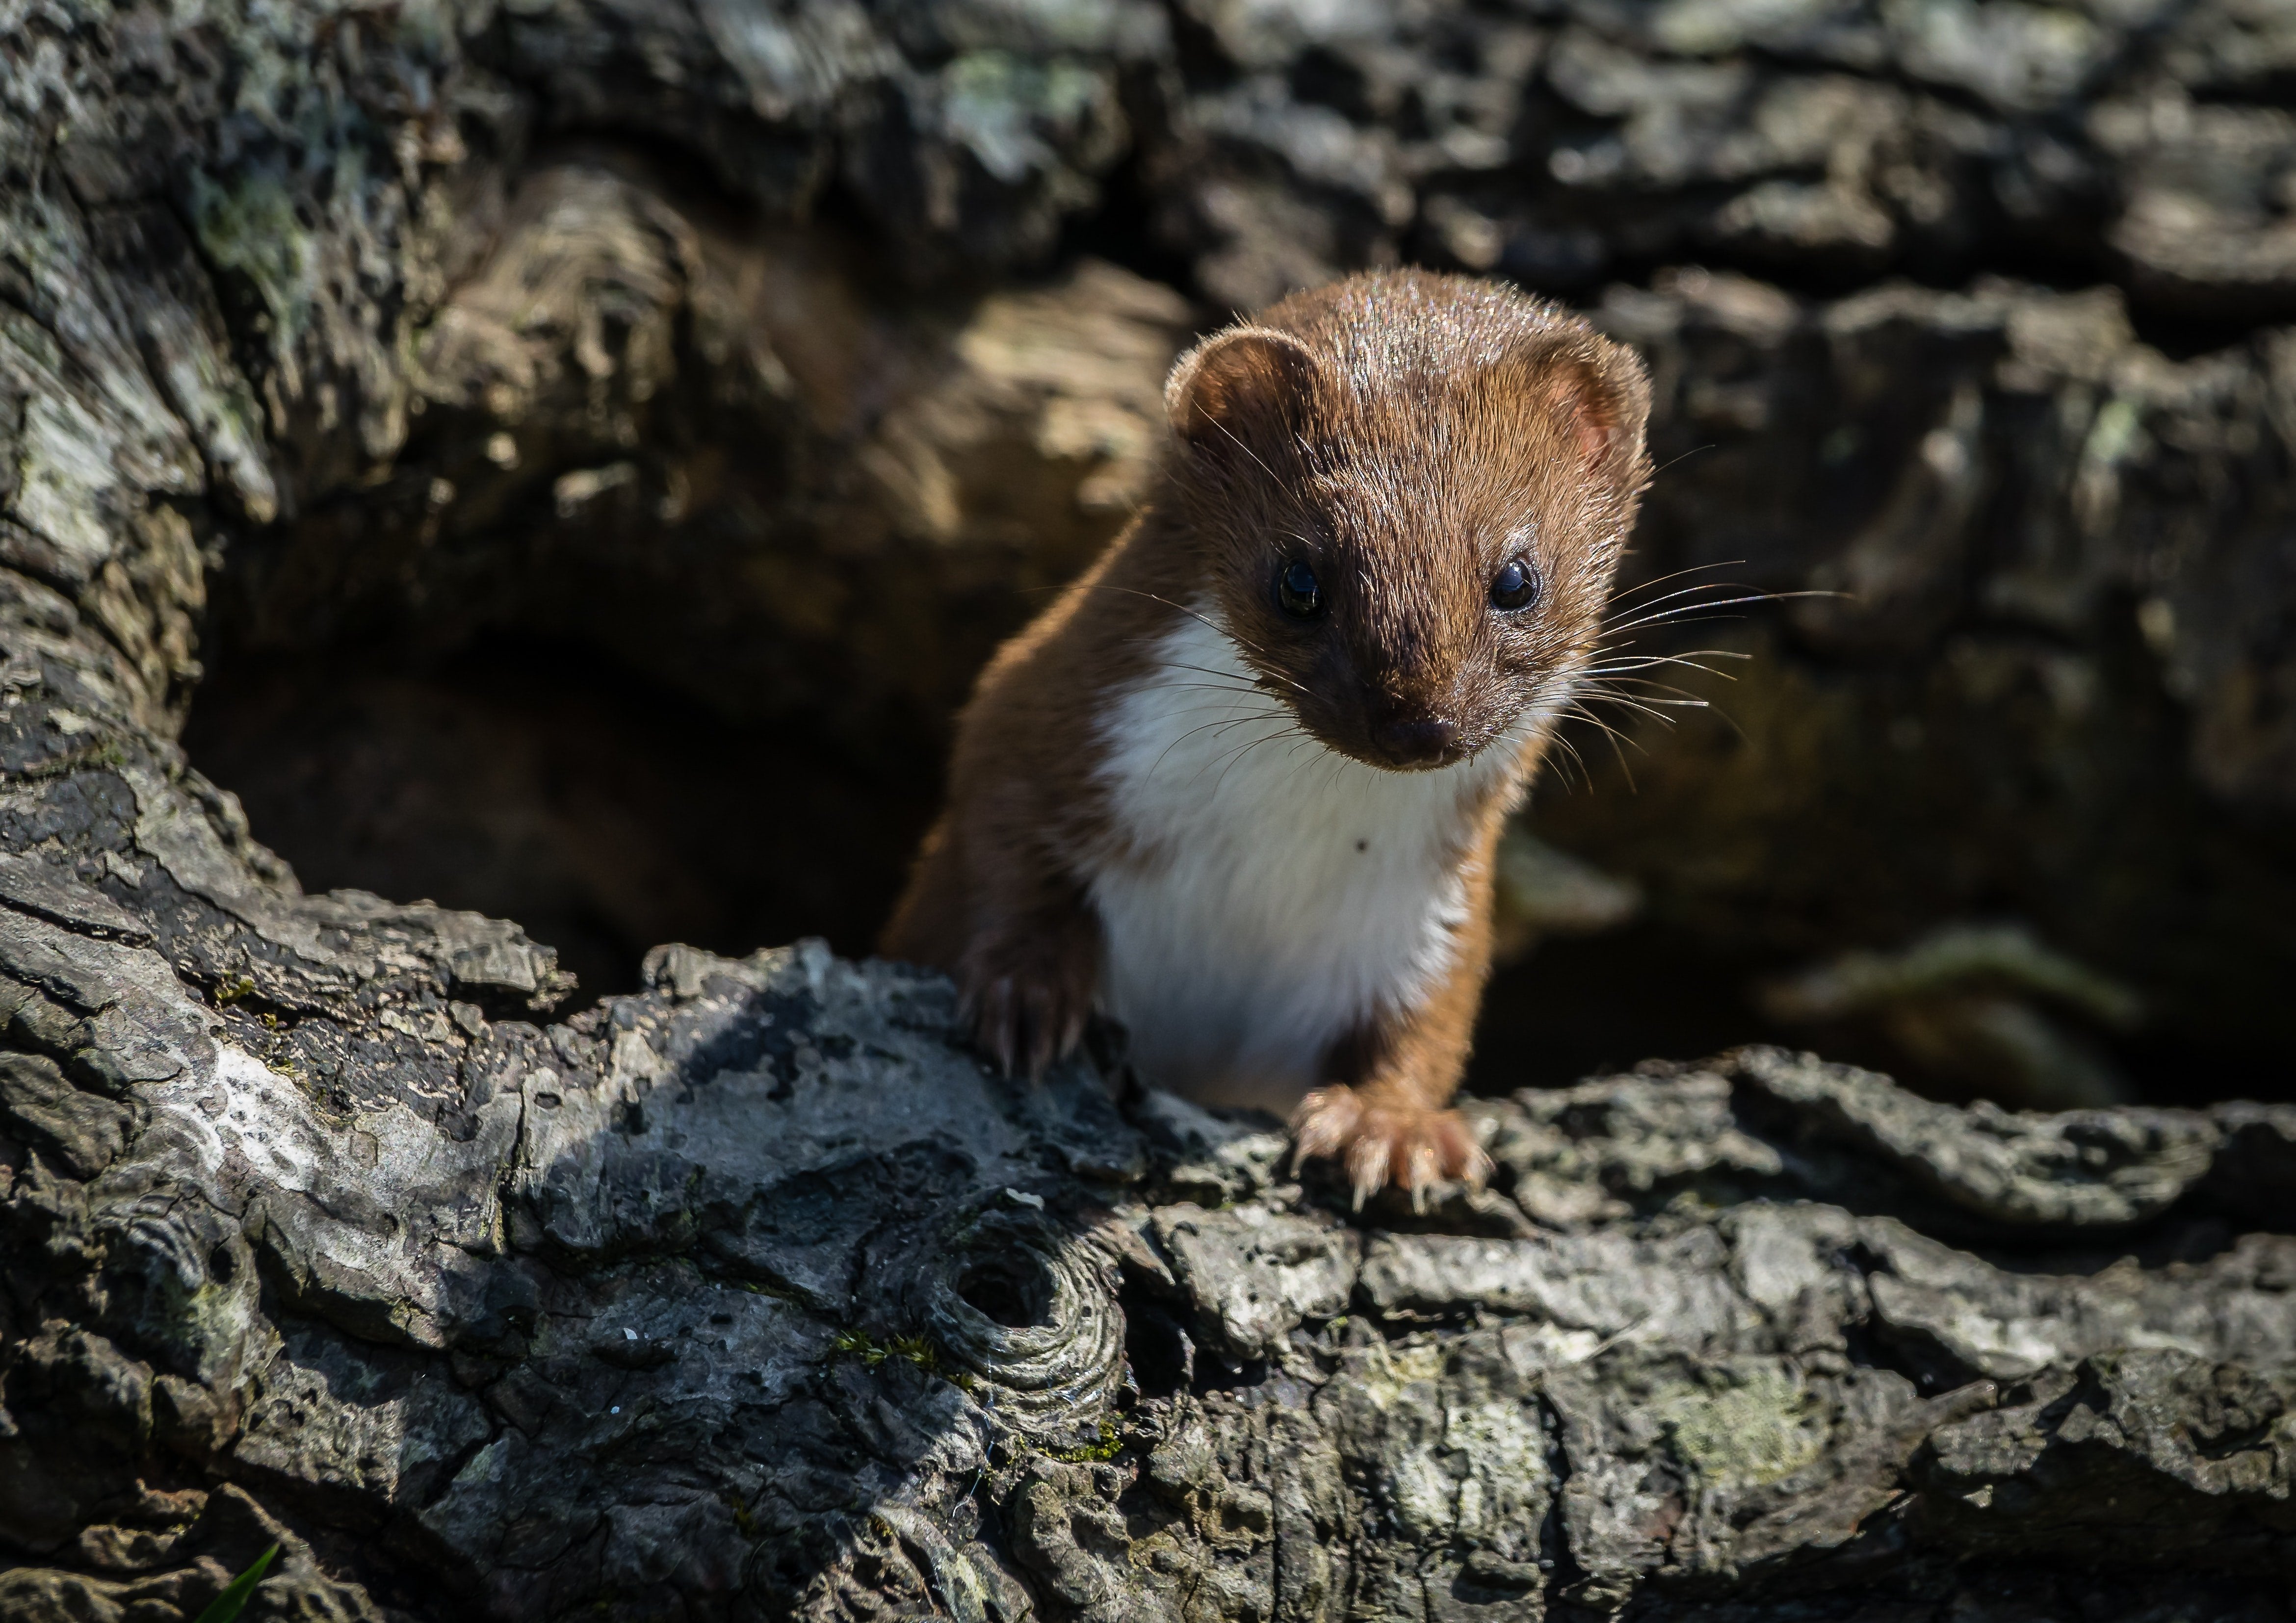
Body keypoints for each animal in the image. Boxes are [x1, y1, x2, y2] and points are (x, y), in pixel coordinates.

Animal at [877, 269, 1653, 1203]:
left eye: (1516, 578)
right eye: (1298, 578)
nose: (1415, 720)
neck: (1268, 866)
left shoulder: (1427, 904)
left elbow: (1431, 1011)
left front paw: (1387, 1129)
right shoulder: (1037, 708)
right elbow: (1000, 830)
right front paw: (1022, 992)